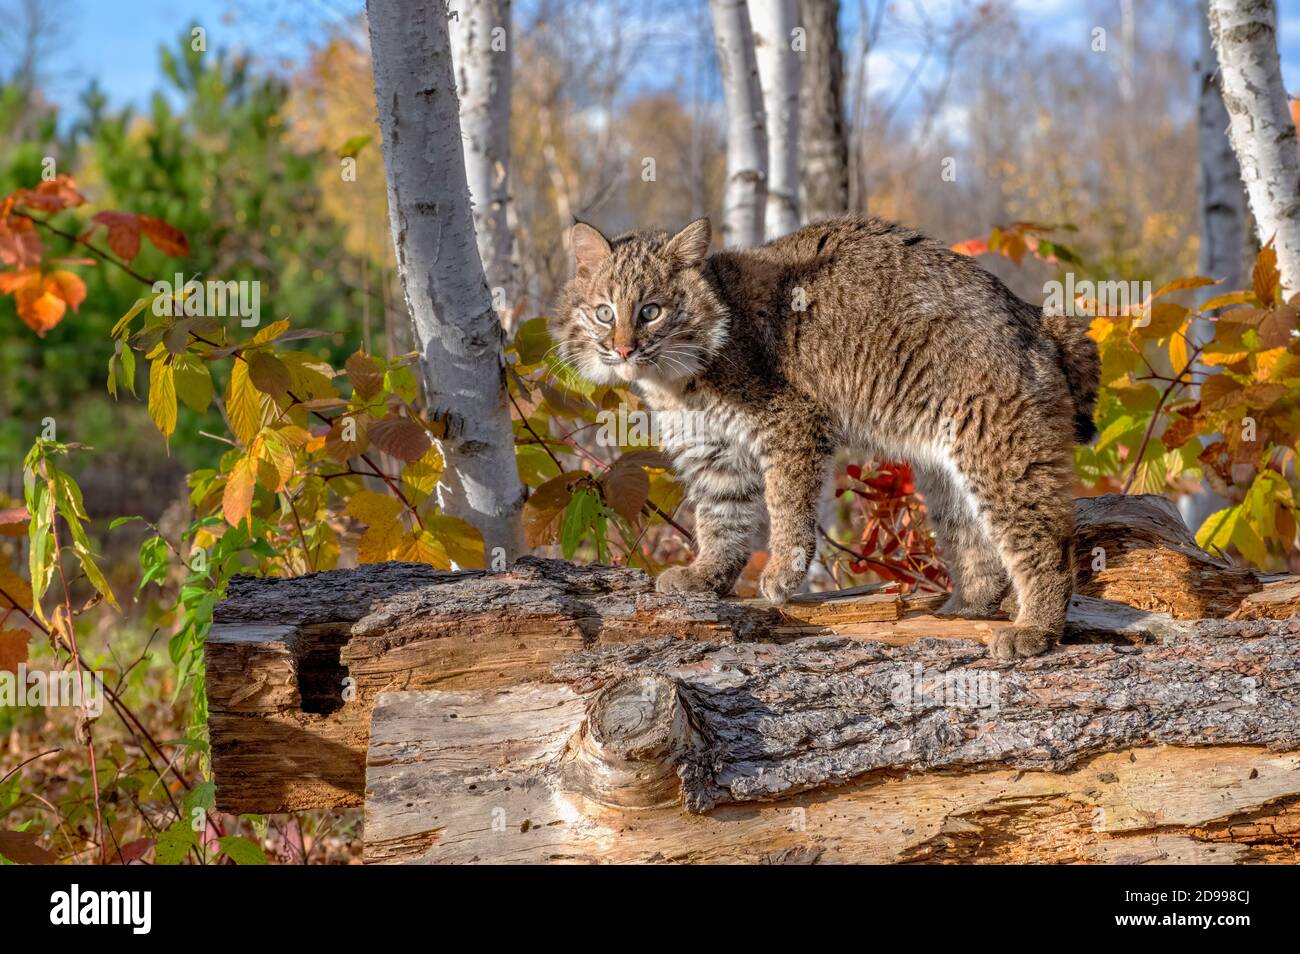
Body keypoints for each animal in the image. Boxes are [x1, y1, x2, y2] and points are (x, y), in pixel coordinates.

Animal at [548, 215, 1097, 657]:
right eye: (604, 312)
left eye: (651, 311)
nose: (623, 350)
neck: (674, 377)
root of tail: (1033, 315)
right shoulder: (715, 449)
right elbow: (721, 517)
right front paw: (707, 575)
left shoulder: (791, 421)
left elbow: (786, 504)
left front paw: (781, 575)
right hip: (946, 462)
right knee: (972, 533)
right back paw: (965, 608)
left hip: (997, 447)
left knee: (1049, 540)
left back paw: (1035, 629)